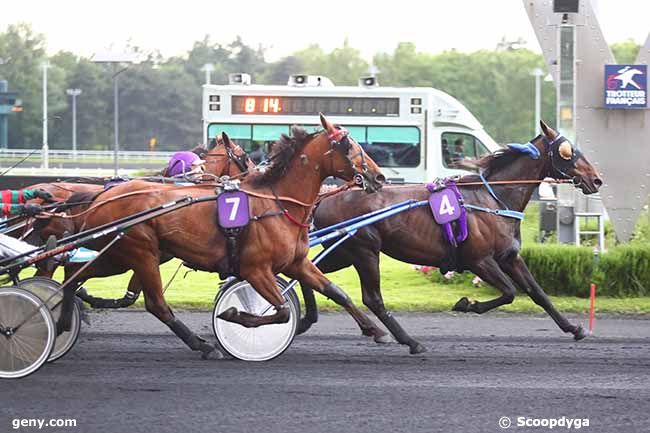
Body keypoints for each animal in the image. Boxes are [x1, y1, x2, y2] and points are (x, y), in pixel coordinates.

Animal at [300, 120, 604, 352]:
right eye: (567, 150)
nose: (597, 179)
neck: (494, 199)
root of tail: (325, 196)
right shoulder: (479, 260)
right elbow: (509, 292)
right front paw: (466, 304)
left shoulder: (509, 257)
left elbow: (537, 292)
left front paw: (574, 328)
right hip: (364, 250)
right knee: (370, 297)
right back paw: (406, 340)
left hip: (343, 251)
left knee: (309, 272)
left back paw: (308, 318)